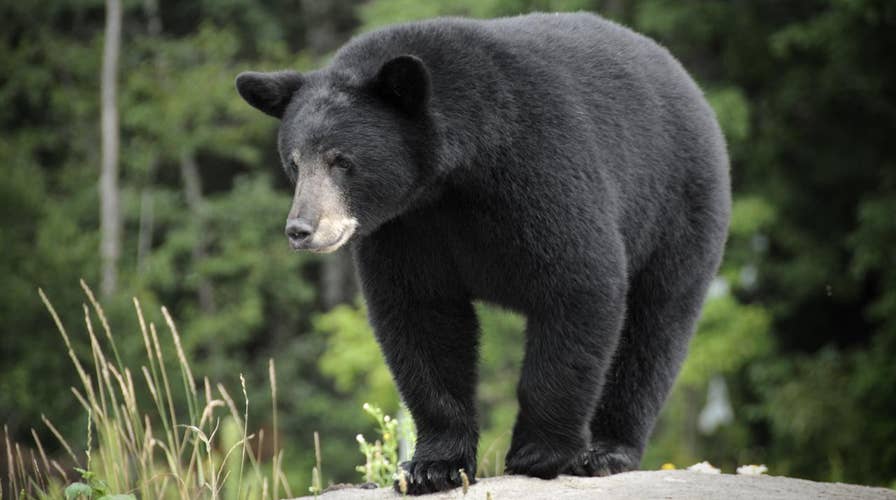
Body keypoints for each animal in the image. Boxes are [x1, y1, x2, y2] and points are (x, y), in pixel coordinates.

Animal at [235, 12, 730, 495]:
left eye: (342, 160)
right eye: (294, 162)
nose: (301, 229)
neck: (453, 176)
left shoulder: (540, 165)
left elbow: (579, 282)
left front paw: (539, 453)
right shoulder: (407, 228)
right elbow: (421, 318)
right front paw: (433, 466)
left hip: (678, 209)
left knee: (653, 330)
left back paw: (607, 450)